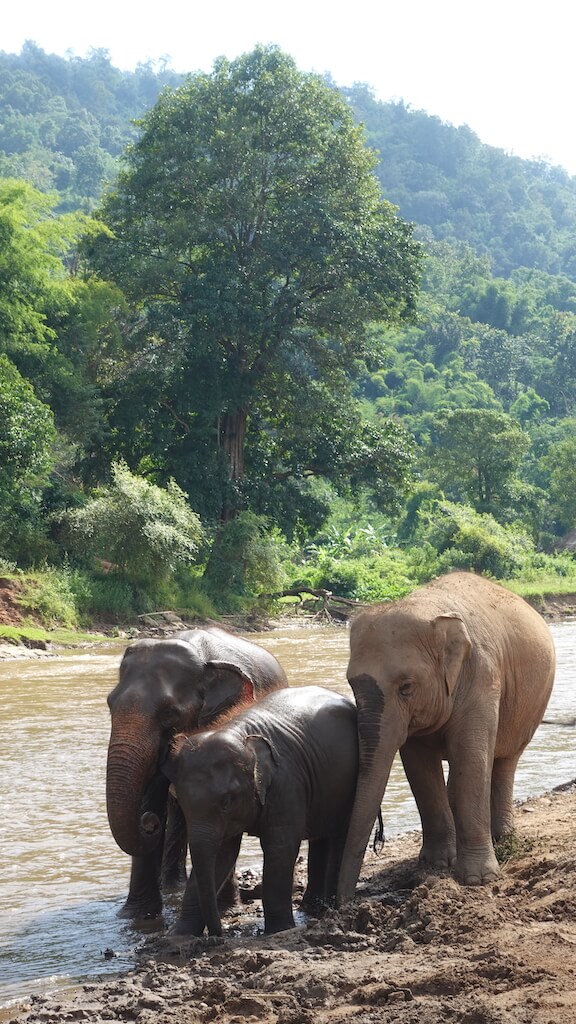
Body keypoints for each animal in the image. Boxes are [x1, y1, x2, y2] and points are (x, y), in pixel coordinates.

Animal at [103, 622, 286, 921]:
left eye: (169, 714)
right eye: (110, 704)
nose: (150, 824)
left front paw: (226, 910)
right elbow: (149, 794)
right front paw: (135, 917)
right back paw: (171, 887)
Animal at [334, 573, 553, 909]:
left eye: (407, 687)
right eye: (351, 684)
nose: (339, 903)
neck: (428, 608)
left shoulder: (482, 677)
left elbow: (471, 760)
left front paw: (477, 880)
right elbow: (420, 768)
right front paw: (437, 864)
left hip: (529, 707)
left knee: (505, 760)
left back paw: (504, 839)